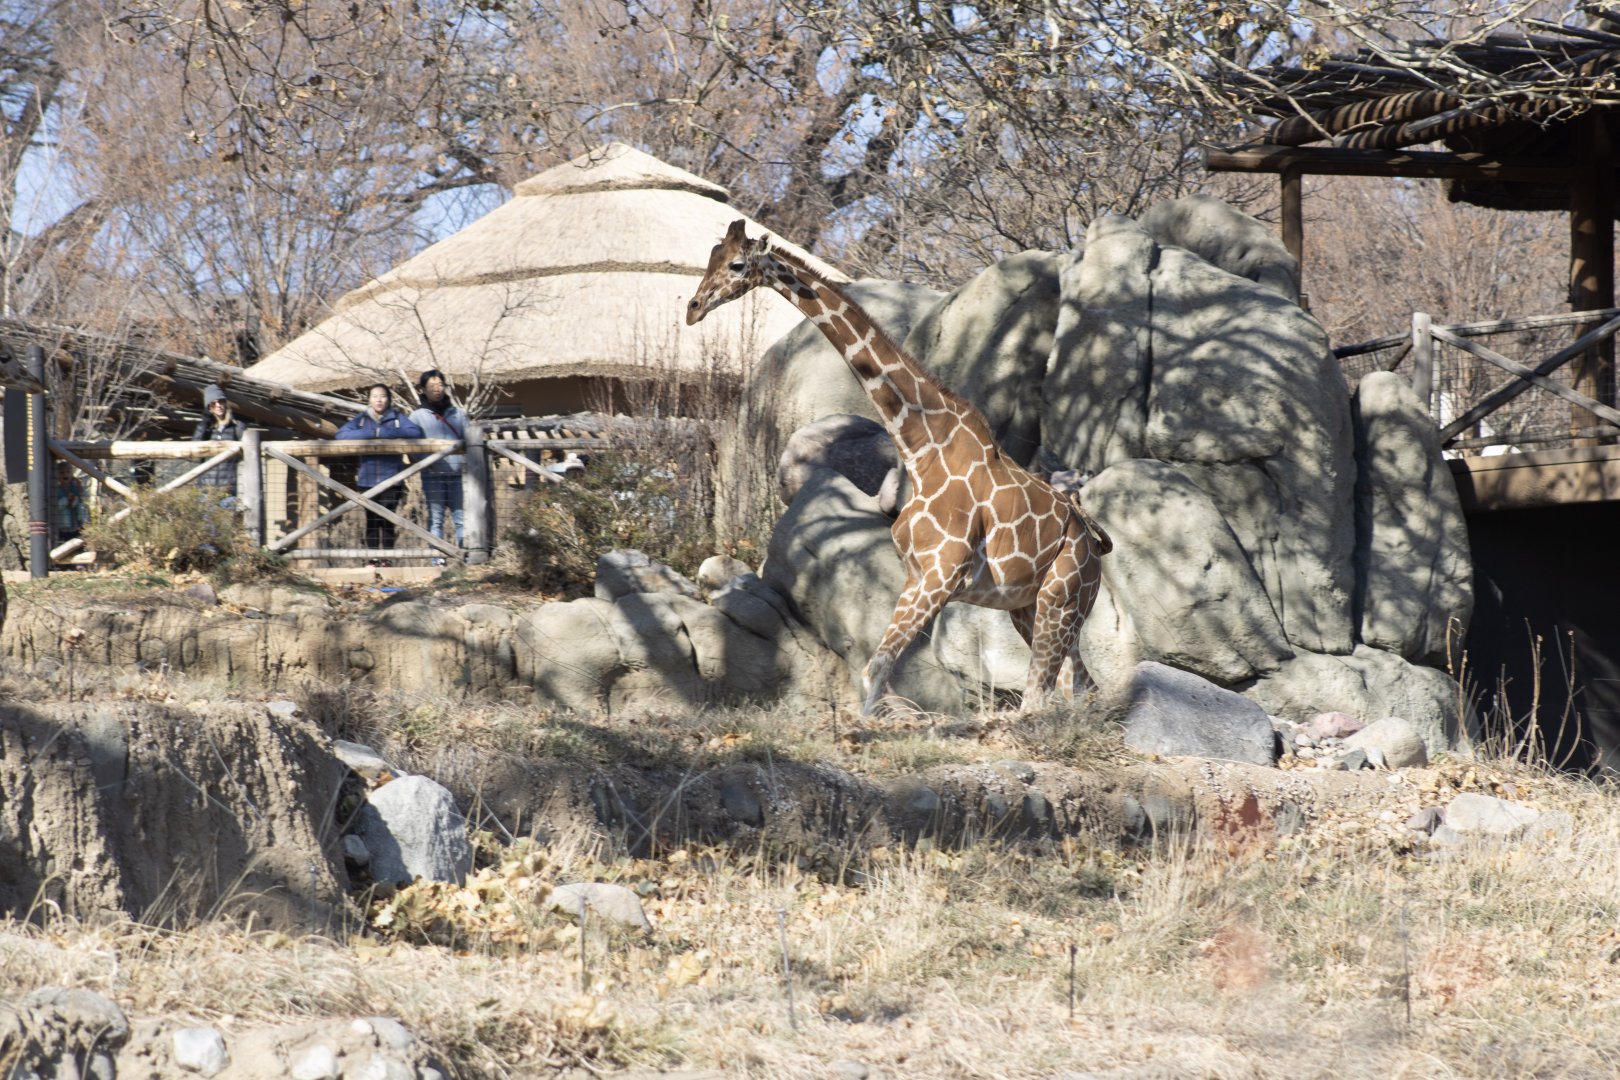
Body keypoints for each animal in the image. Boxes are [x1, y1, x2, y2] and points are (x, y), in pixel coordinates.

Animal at [687, 220, 1112, 716]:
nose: (694, 308)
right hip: (1030, 606)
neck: (921, 449)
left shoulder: (940, 575)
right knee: (1079, 686)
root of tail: (1093, 543)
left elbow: (876, 671)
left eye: (737, 264)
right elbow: (876, 671)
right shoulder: (917, 576)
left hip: (1060, 598)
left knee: (1039, 696)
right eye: (712, 255)